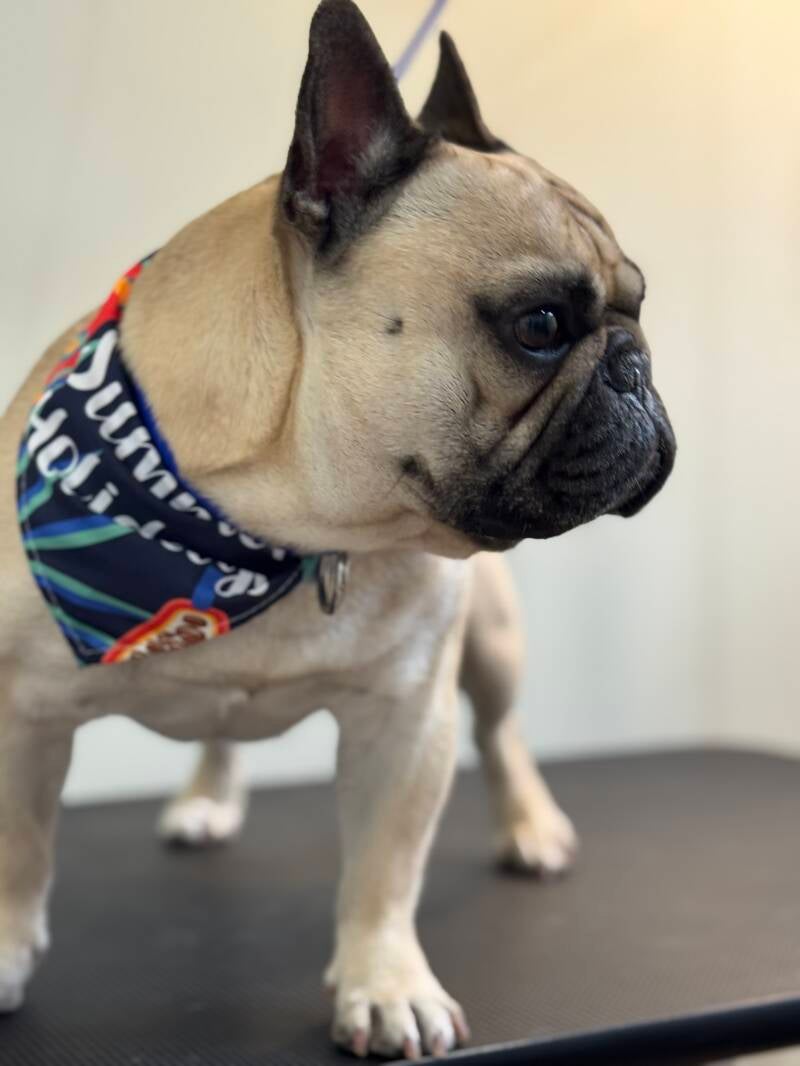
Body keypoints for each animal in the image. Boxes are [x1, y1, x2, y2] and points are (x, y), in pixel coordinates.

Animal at [0, 0, 675, 1057]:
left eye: (639, 307)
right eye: (539, 325)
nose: (637, 367)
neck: (272, 534)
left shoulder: (408, 719)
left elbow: (385, 870)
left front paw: (386, 985)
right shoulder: (19, 710)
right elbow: (19, 851)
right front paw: (3, 950)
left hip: (492, 644)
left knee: (505, 732)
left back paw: (530, 827)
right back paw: (207, 798)